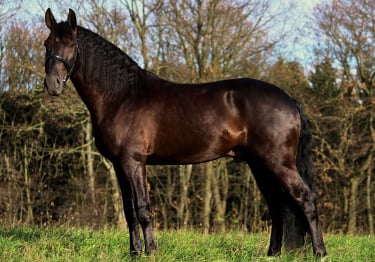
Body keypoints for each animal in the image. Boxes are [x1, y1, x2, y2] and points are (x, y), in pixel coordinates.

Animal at [43, 8, 326, 258]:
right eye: (47, 43)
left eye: (71, 44)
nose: (52, 85)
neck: (122, 96)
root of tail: (289, 99)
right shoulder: (118, 165)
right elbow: (128, 212)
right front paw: (134, 253)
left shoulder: (134, 162)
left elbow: (143, 209)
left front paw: (151, 252)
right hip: (260, 165)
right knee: (278, 208)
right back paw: (272, 254)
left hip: (279, 163)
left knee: (306, 200)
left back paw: (319, 252)